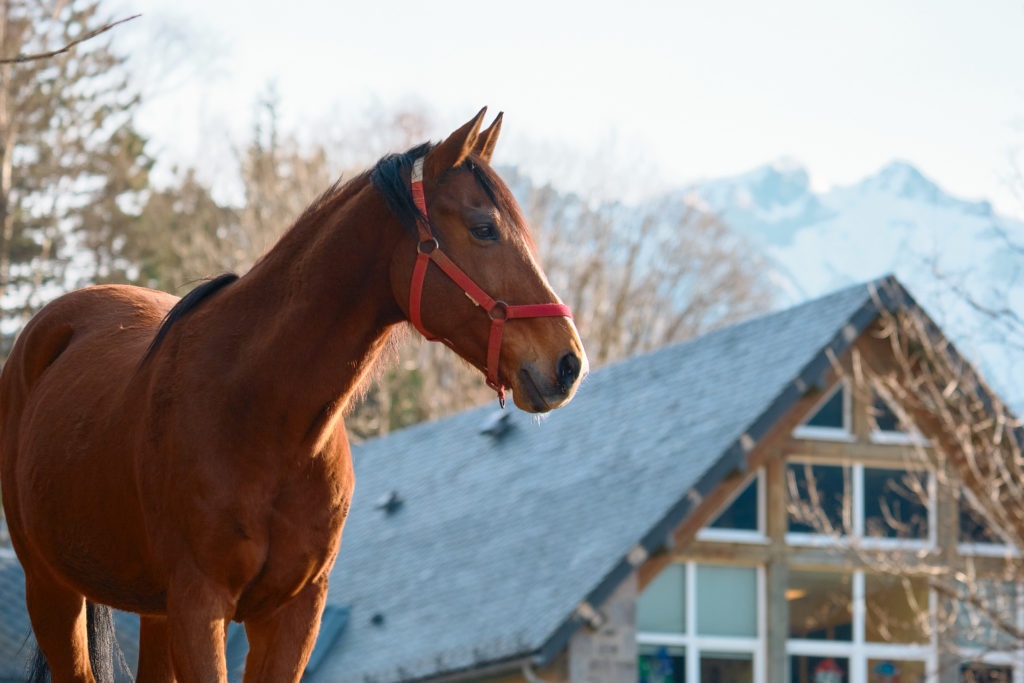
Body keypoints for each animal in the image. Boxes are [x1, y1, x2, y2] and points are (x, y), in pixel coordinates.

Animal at [0, 108, 587, 683]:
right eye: (483, 228)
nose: (568, 362)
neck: (261, 413)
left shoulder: (293, 611)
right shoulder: (199, 606)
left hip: (151, 611)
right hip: (51, 590)